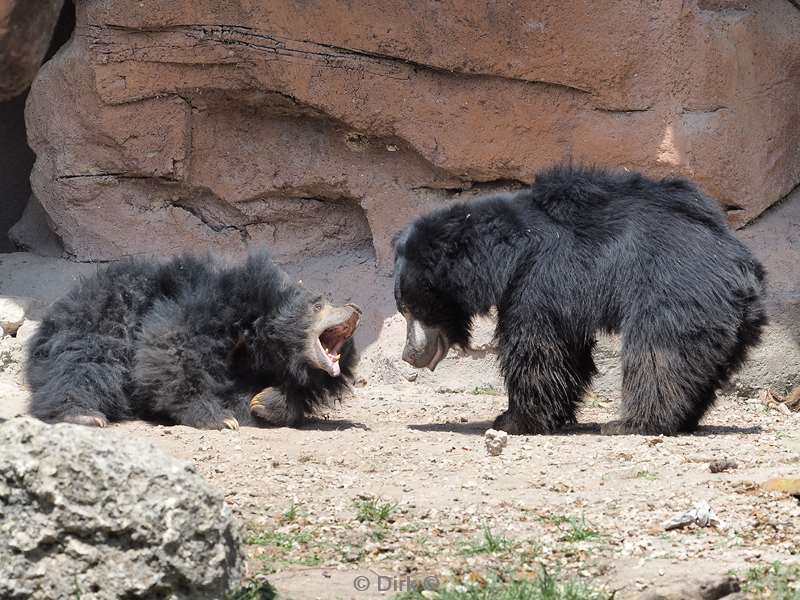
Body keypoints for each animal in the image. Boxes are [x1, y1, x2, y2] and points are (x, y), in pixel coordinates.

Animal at [396, 165, 764, 436]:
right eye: (404, 310)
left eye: (413, 308)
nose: (408, 355)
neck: (504, 254)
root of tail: (742, 265)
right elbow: (566, 352)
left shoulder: (542, 276)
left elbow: (538, 347)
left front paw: (513, 420)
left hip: (676, 293)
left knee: (658, 355)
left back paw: (630, 423)